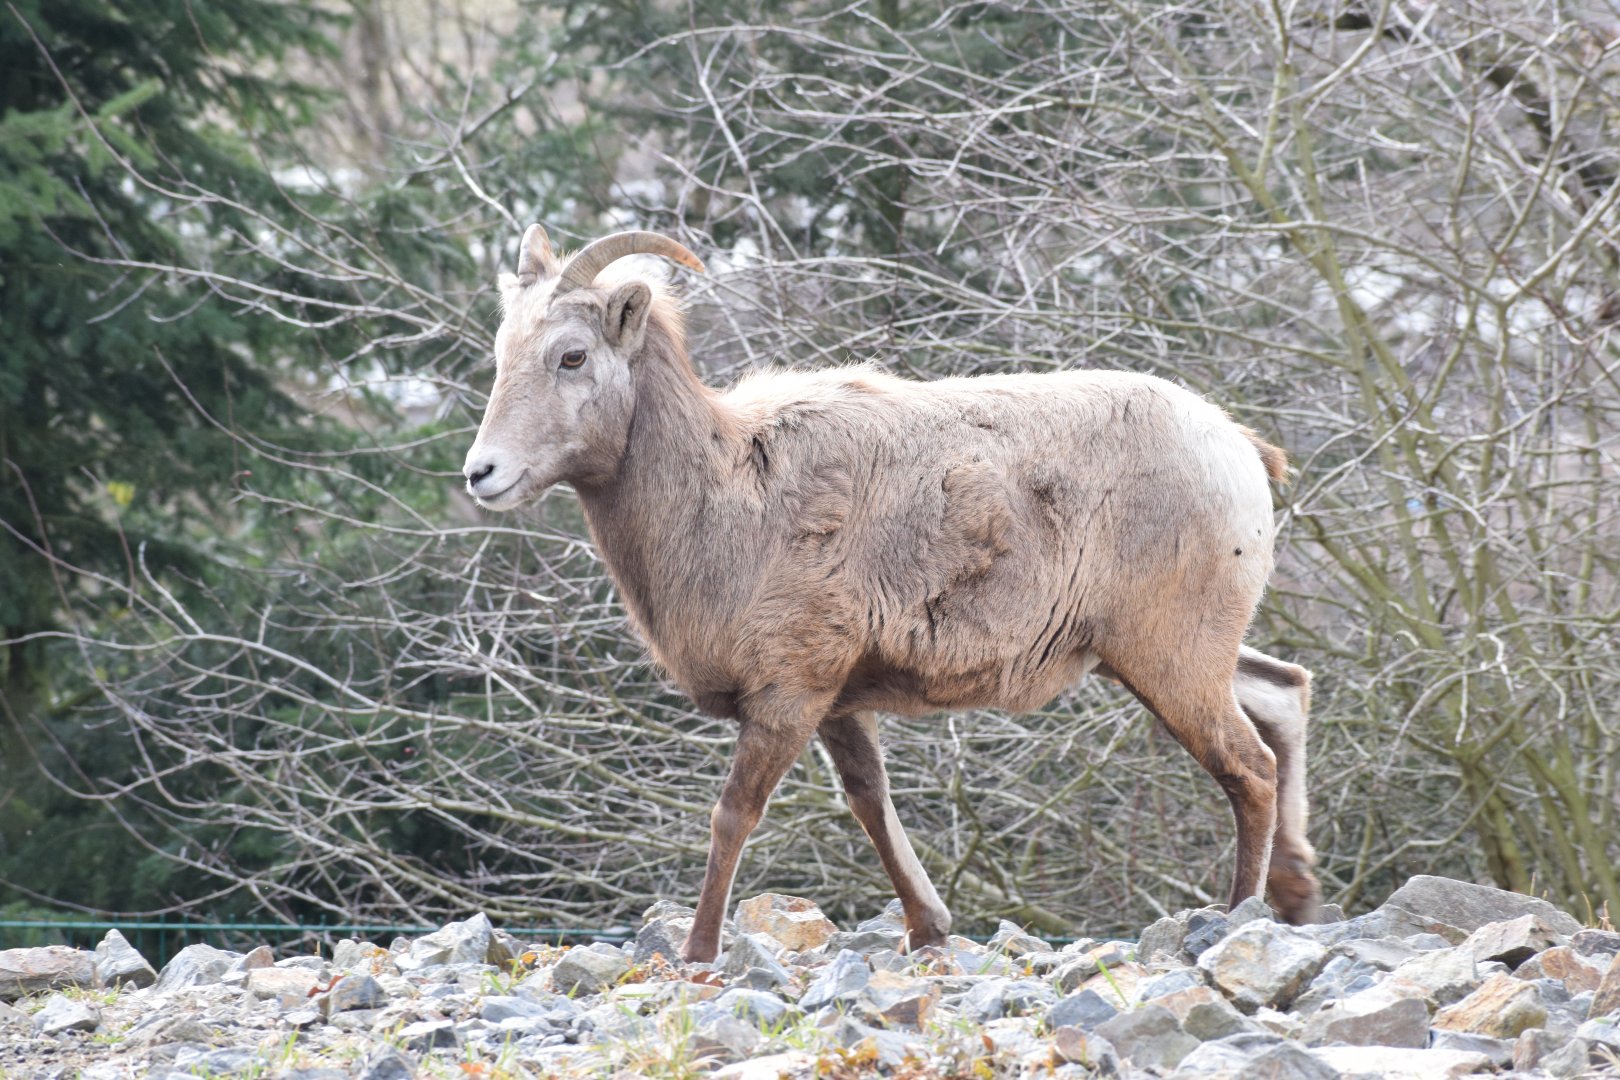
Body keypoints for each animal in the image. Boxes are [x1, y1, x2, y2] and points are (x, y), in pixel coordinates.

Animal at [463, 225, 1320, 962]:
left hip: (1169, 658)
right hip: (1162, 654)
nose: (482, 474)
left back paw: (1241, 915)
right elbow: (870, 802)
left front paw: (697, 954)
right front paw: (928, 930)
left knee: (1248, 766)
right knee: (1283, 694)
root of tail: (1241, 450)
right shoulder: (839, 705)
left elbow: (734, 815)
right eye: (504, 352)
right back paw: (1299, 895)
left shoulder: (789, 694)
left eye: (572, 355)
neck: (731, 495)